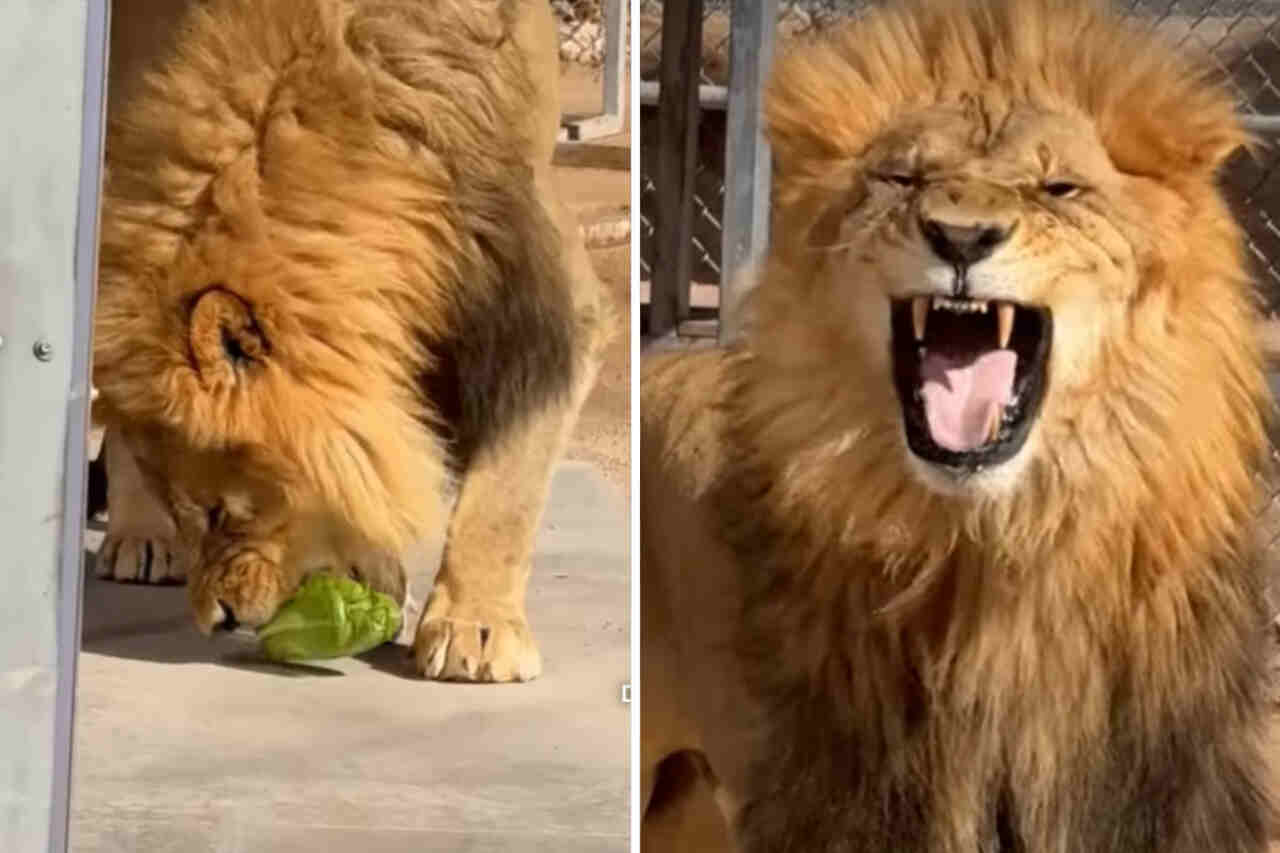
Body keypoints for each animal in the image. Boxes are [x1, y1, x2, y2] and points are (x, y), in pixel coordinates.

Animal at [90, 0, 609, 682]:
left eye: (223, 513)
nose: (217, 620)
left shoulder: (545, 303)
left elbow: (505, 490)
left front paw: (474, 626)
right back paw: (140, 536)